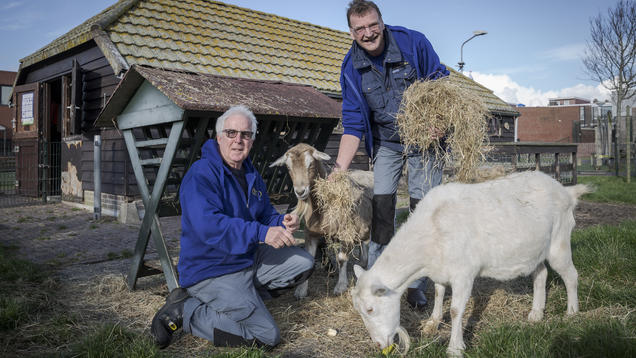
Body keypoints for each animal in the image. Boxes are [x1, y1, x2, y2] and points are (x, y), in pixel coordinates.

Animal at [270, 144, 372, 298]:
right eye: (288, 167)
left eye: (311, 164)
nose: (300, 191)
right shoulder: (310, 234)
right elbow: (310, 259)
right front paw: (301, 291)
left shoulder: (345, 232)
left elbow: (342, 258)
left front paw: (341, 286)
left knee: (368, 240)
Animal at [350, 171, 588, 356]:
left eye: (370, 309)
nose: (379, 344)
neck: (432, 230)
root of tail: (566, 191)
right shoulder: (440, 270)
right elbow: (438, 292)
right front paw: (432, 323)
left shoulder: (464, 273)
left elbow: (456, 310)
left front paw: (455, 348)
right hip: (534, 249)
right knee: (541, 274)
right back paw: (536, 314)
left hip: (559, 242)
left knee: (571, 275)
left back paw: (572, 312)